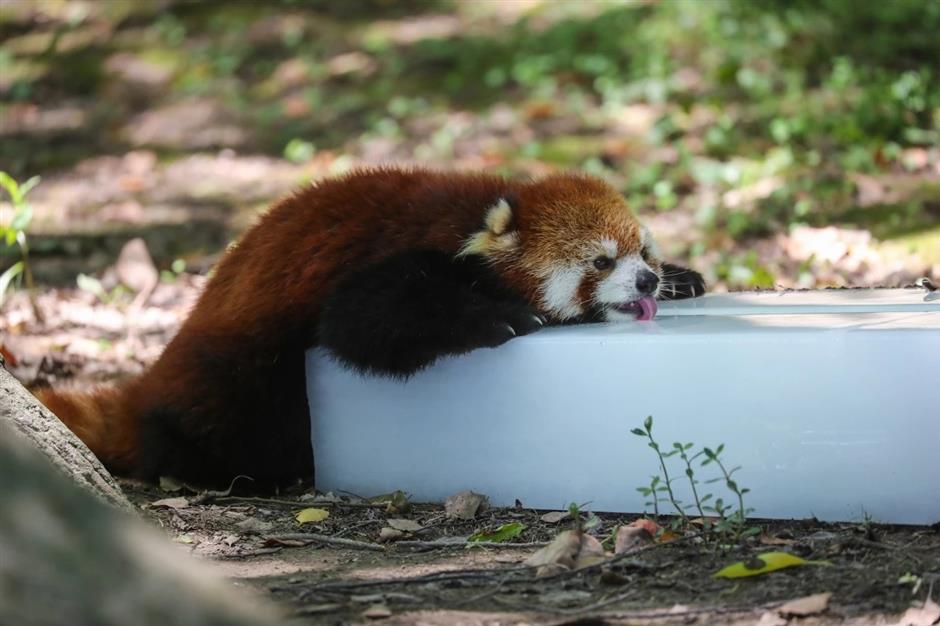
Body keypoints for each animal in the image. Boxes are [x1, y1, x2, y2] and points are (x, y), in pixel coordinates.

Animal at [36, 167, 700, 488]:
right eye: (602, 262)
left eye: (643, 251)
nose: (646, 282)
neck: (478, 220)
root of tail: (152, 379)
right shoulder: (394, 257)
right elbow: (360, 323)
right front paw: (503, 317)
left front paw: (686, 277)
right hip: (238, 375)